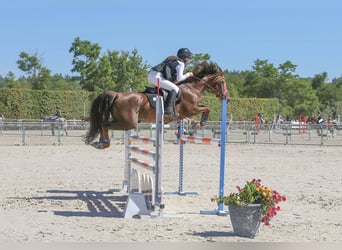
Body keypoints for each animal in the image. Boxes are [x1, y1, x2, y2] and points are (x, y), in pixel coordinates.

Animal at [84, 60, 228, 149]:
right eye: (222, 82)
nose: (227, 97)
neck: (192, 87)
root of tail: (117, 95)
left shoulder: (191, 110)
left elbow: (204, 108)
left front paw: (194, 126)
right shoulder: (191, 109)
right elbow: (206, 108)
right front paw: (199, 124)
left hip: (123, 121)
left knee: (104, 124)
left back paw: (100, 143)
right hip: (128, 122)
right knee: (105, 124)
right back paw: (103, 143)